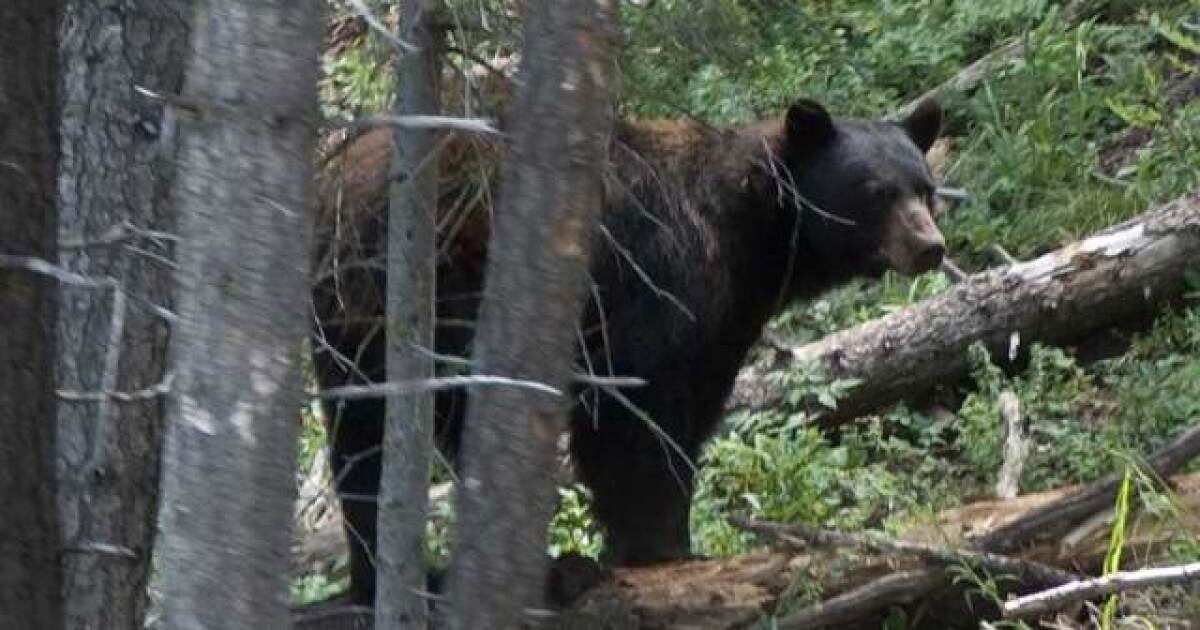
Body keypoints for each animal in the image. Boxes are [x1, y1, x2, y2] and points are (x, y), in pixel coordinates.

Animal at [312, 96, 946, 605]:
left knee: (360, 437)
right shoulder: (661, 290)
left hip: (348, 328)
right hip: (443, 294)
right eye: (874, 191)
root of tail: (340, 185)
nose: (930, 246)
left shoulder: (723, 326)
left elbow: (689, 417)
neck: (754, 236)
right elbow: (639, 418)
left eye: (924, 187)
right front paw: (657, 544)